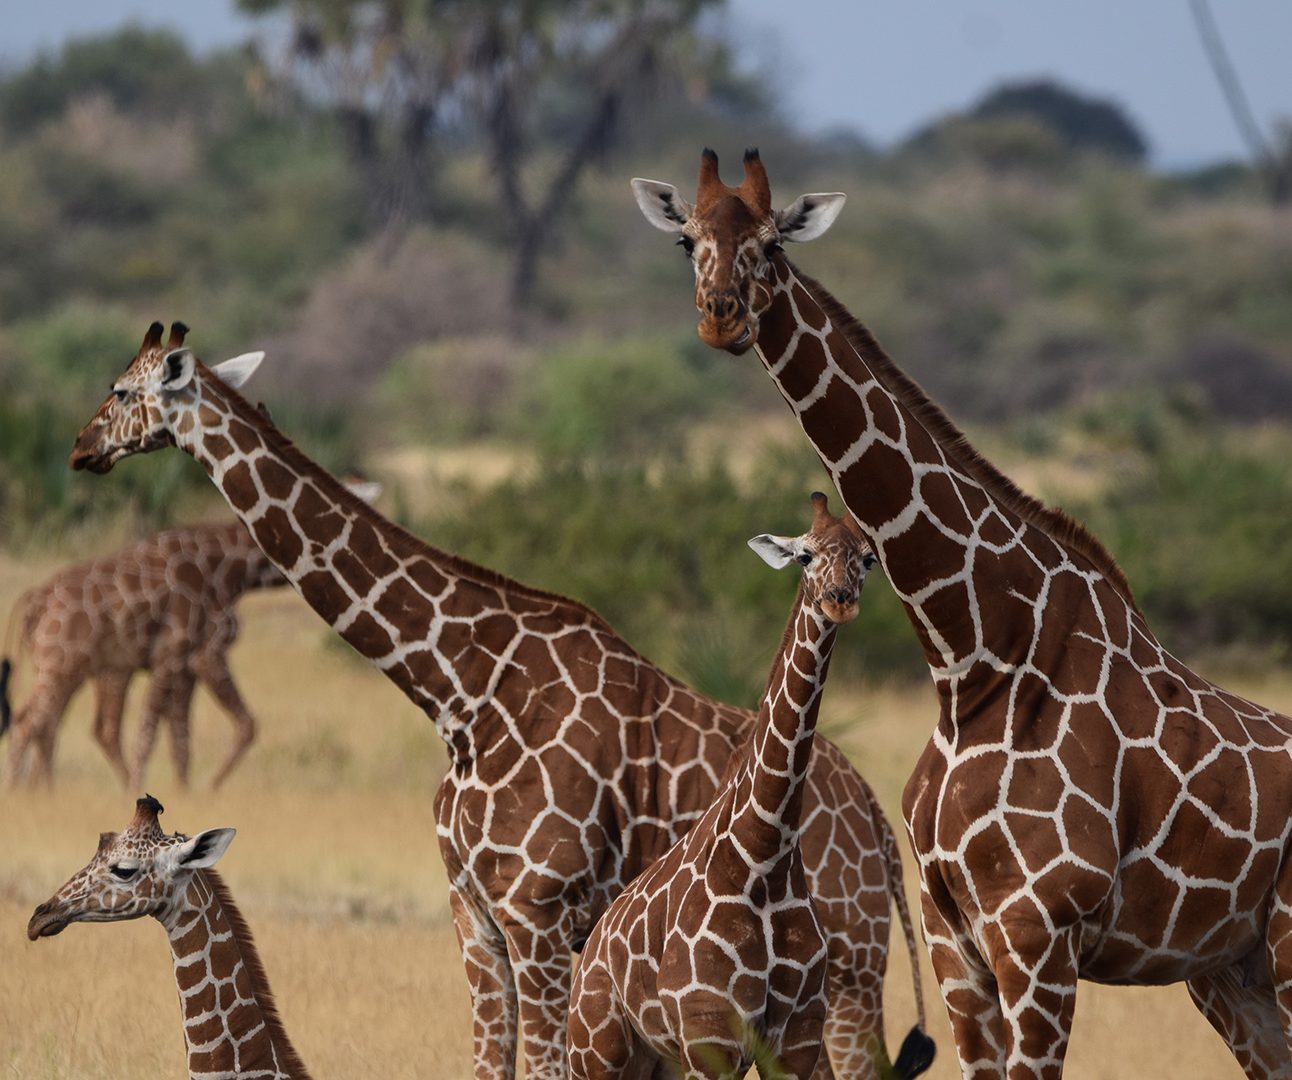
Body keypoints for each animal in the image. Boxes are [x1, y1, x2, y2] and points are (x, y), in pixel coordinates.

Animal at [571, 493, 935, 1080]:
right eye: (805, 555)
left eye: (866, 559)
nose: (839, 601)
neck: (763, 856)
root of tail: (592, 945)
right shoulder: (709, 1037)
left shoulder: (795, 1039)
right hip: (597, 1047)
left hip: (656, 1060)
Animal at [638, 149, 1292, 1080]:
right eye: (688, 240)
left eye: (772, 243)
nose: (720, 317)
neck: (973, 659)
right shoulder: (958, 941)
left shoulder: (1039, 934)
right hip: (1232, 970)